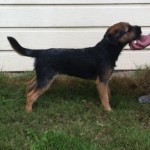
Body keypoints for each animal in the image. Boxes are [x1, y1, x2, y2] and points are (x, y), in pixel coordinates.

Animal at [7, 21, 142, 112]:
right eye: (129, 29)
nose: (140, 28)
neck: (107, 49)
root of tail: (41, 52)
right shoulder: (101, 81)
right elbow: (104, 97)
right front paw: (108, 110)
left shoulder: (104, 80)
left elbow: (107, 93)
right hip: (46, 80)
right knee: (31, 95)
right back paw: (29, 111)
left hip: (41, 76)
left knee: (29, 85)